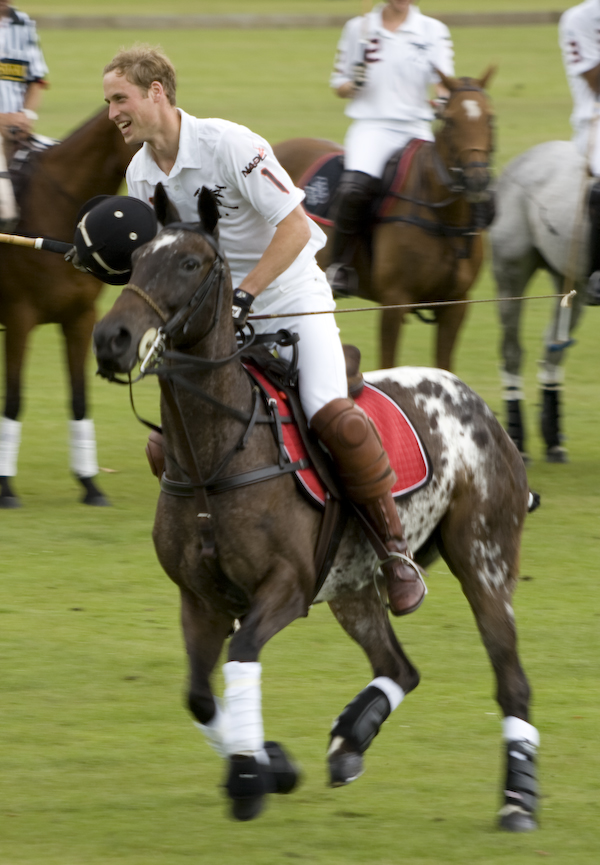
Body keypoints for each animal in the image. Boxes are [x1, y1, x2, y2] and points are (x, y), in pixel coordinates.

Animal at [0, 111, 134, 510]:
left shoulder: (80, 318)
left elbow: (79, 399)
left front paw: (90, 484)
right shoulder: (19, 318)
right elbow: (14, 400)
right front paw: (6, 489)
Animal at [92, 184, 540, 832]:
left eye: (190, 263)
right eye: (134, 258)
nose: (112, 340)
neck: (214, 460)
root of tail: (477, 401)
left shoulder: (286, 585)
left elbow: (242, 655)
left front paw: (249, 777)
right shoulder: (199, 598)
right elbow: (200, 696)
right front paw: (270, 763)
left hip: (484, 559)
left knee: (511, 681)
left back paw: (518, 802)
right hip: (355, 584)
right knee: (400, 666)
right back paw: (351, 736)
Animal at [490, 142, 588, 462]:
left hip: (569, 280)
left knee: (552, 350)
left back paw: (553, 438)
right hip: (511, 272)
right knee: (512, 351)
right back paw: (518, 438)